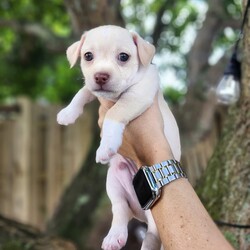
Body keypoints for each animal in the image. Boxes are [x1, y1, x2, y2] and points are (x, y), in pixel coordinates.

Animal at [57, 25, 181, 250]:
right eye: (88, 56)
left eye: (124, 57)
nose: (100, 76)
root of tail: (140, 213)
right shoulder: (94, 89)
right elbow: (83, 91)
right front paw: (68, 113)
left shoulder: (137, 95)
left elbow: (114, 113)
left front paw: (105, 146)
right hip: (114, 182)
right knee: (120, 210)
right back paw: (114, 237)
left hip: (156, 217)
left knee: (151, 235)